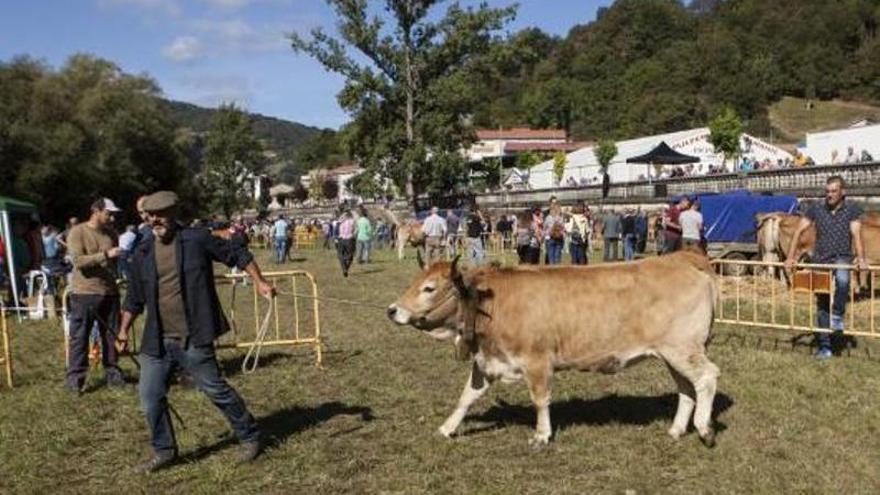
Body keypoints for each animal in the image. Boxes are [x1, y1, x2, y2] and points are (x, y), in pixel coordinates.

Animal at [388, 254, 720, 448]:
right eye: (416, 281)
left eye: (429, 288)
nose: (392, 310)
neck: (493, 303)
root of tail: (685, 261)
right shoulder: (487, 362)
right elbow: (467, 396)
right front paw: (447, 428)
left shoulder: (537, 361)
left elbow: (540, 400)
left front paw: (541, 434)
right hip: (673, 355)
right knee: (686, 389)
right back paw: (677, 429)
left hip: (682, 349)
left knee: (707, 378)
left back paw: (704, 428)